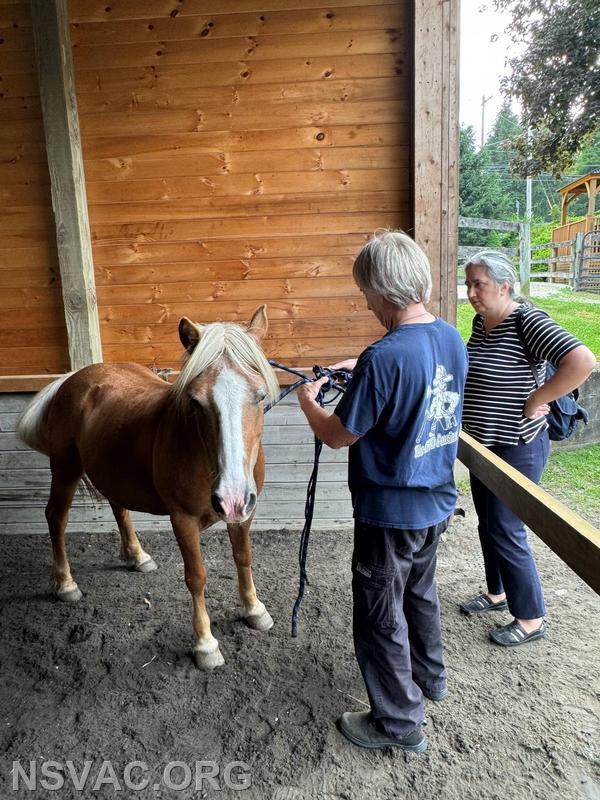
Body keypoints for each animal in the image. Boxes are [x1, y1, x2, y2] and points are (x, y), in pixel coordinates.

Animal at [17, 306, 280, 668]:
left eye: (260, 395)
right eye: (196, 401)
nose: (231, 498)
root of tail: (73, 377)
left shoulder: (246, 513)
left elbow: (244, 557)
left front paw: (254, 609)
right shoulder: (183, 519)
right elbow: (196, 576)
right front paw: (205, 644)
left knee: (119, 507)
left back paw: (137, 556)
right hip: (65, 469)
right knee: (56, 517)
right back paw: (66, 584)